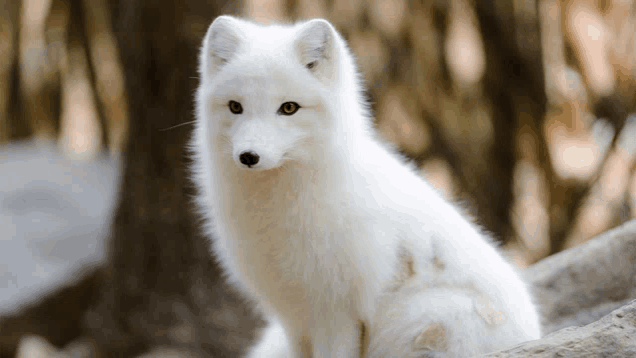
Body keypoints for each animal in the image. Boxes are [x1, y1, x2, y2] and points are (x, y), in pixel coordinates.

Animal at [190, 15, 540, 356]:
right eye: (235, 107)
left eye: (288, 108)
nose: (249, 156)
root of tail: (533, 333)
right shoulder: (294, 316)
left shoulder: (337, 312)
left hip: (420, 318)